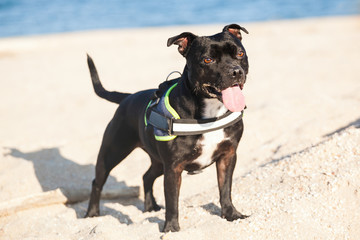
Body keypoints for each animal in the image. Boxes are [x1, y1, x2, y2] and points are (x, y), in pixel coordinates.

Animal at [85, 23, 250, 232]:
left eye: (240, 53)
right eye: (208, 59)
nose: (235, 71)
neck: (210, 110)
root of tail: (127, 98)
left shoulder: (227, 156)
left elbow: (225, 189)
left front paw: (231, 215)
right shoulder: (173, 167)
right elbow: (172, 201)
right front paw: (171, 228)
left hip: (157, 161)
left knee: (147, 176)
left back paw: (150, 207)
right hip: (112, 153)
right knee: (97, 182)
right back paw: (91, 214)